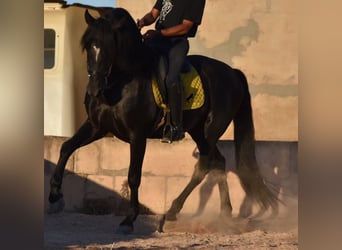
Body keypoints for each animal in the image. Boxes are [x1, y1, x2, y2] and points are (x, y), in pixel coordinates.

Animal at [48, 8, 278, 234]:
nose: (94, 90)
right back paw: (224, 214)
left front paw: (129, 220)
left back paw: (172, 212)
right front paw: (54, 195)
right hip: (198, 131)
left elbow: (134, 175)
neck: (121, 82)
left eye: (110, 47)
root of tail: (233, 73)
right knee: (218, 162)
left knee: (204, 165)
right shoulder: (97, 127)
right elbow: (66, 148)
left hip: (211, 129)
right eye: (88, 46)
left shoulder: (137, 135)